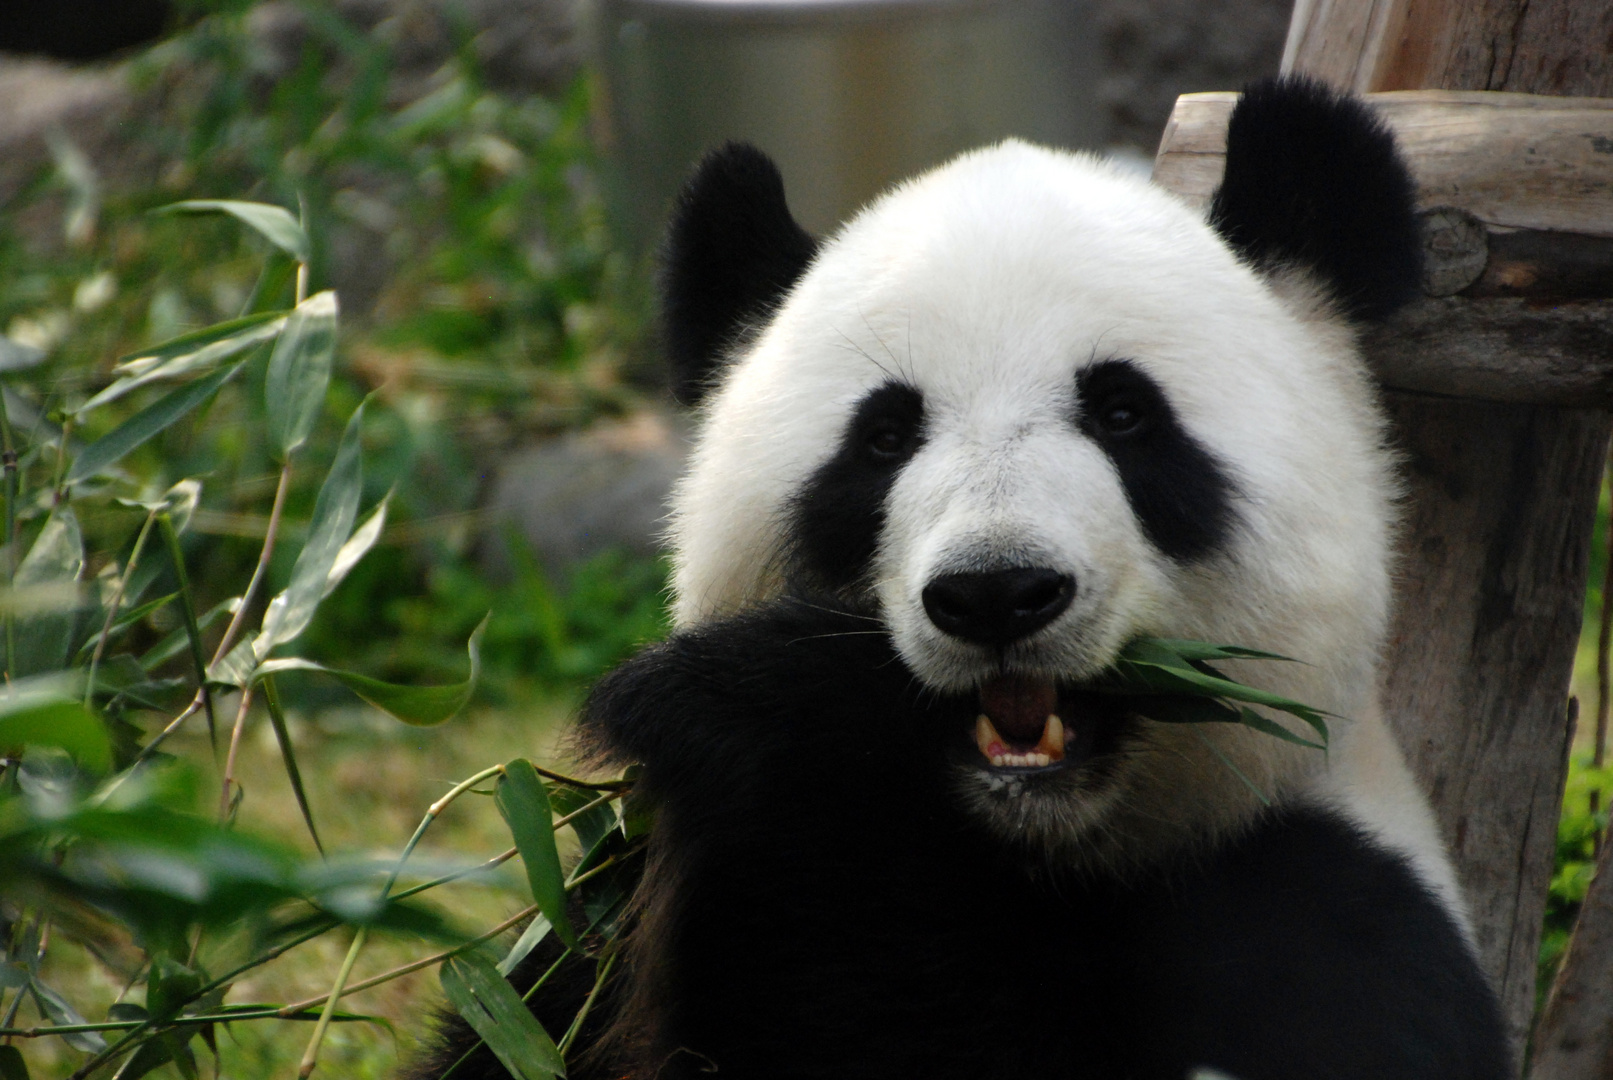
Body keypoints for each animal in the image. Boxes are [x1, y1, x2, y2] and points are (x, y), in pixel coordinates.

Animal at [403, 80, 1509, 1080]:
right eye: (883, 438)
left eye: (1123, 414)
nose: (995, 593)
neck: (1030, 843)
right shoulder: (594, 936)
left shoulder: (1335, 927)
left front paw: (776, 708)